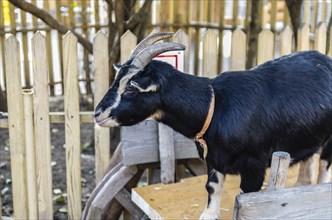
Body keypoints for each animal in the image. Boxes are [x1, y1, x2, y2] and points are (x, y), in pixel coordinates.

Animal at [95, 31, 332, 219]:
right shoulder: (214, 157)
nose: (98, 113)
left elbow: (245, 198)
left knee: (324, 164)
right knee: (310, 158)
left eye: (130, 88)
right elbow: (212, 187)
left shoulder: (254, 164)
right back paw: (301, 185)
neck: (215, 106)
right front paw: (209, 215)